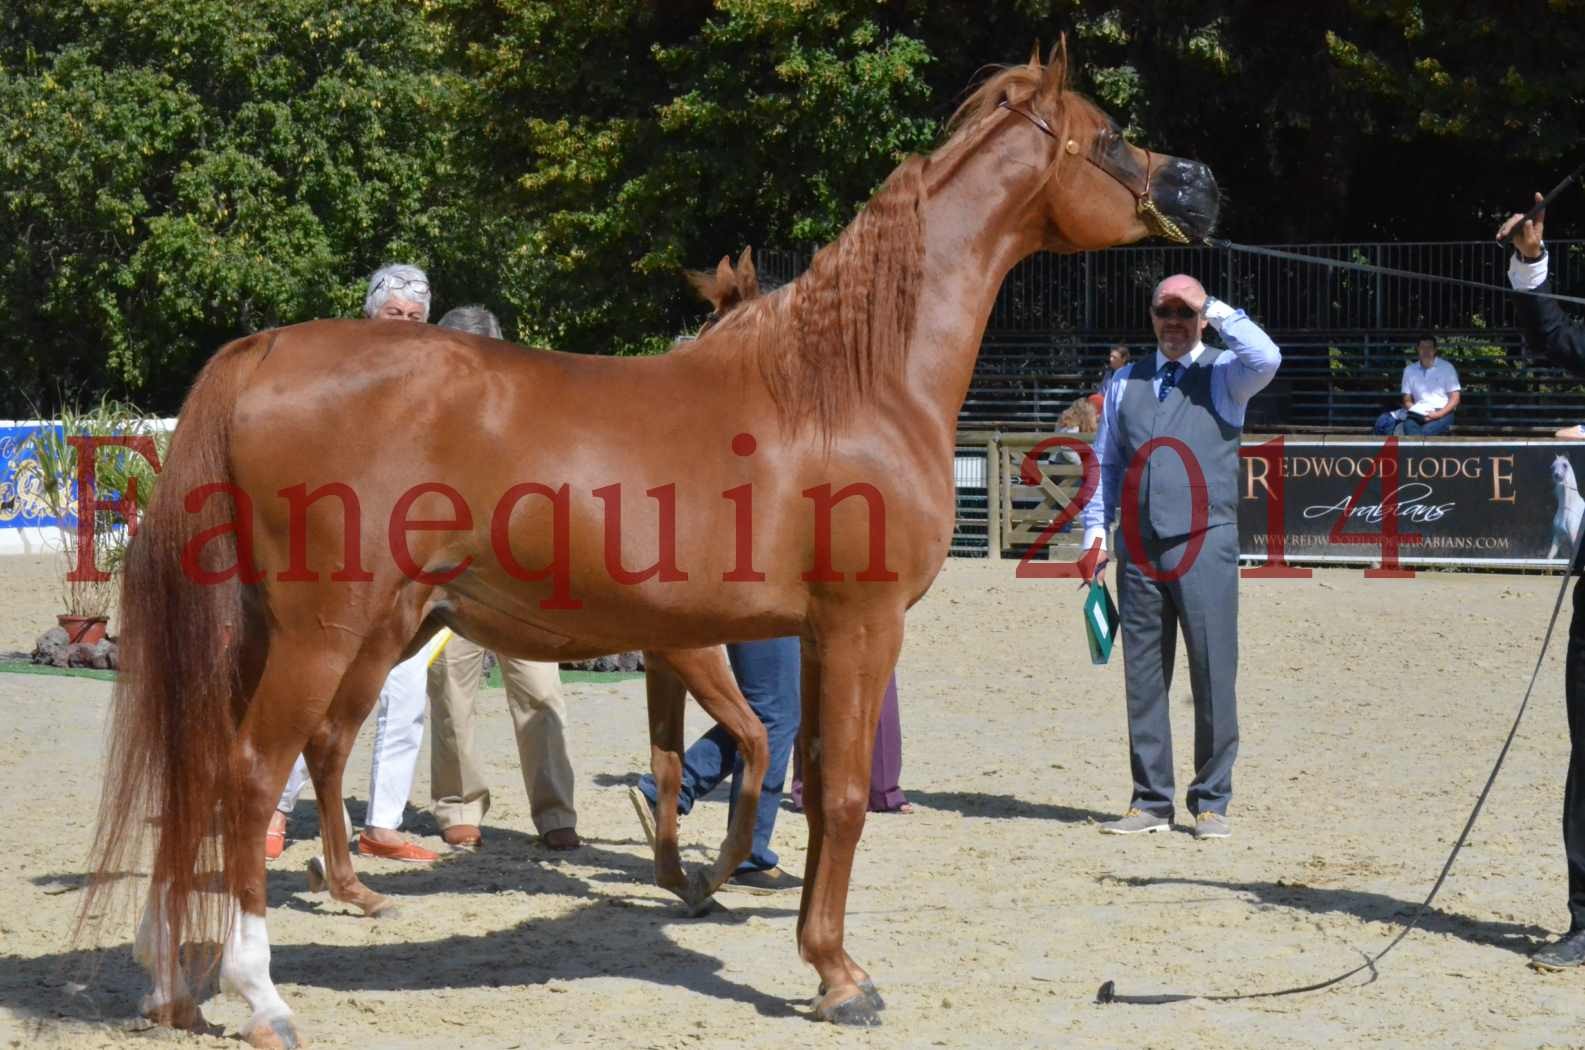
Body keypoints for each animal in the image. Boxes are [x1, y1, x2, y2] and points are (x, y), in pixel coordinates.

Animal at [80, 45, 1217, 1046]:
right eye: (1109, 138)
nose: (1199, 183)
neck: (844, 383)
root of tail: (259, 351)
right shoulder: (859, 625)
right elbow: (841, 796)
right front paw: (841, 978)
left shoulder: (798, 636)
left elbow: (785, 778)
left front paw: (764, 919)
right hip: (325, 633)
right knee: (244, 774)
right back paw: (260, 996)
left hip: (271, 633)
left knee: (198, 772)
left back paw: (168, 983)